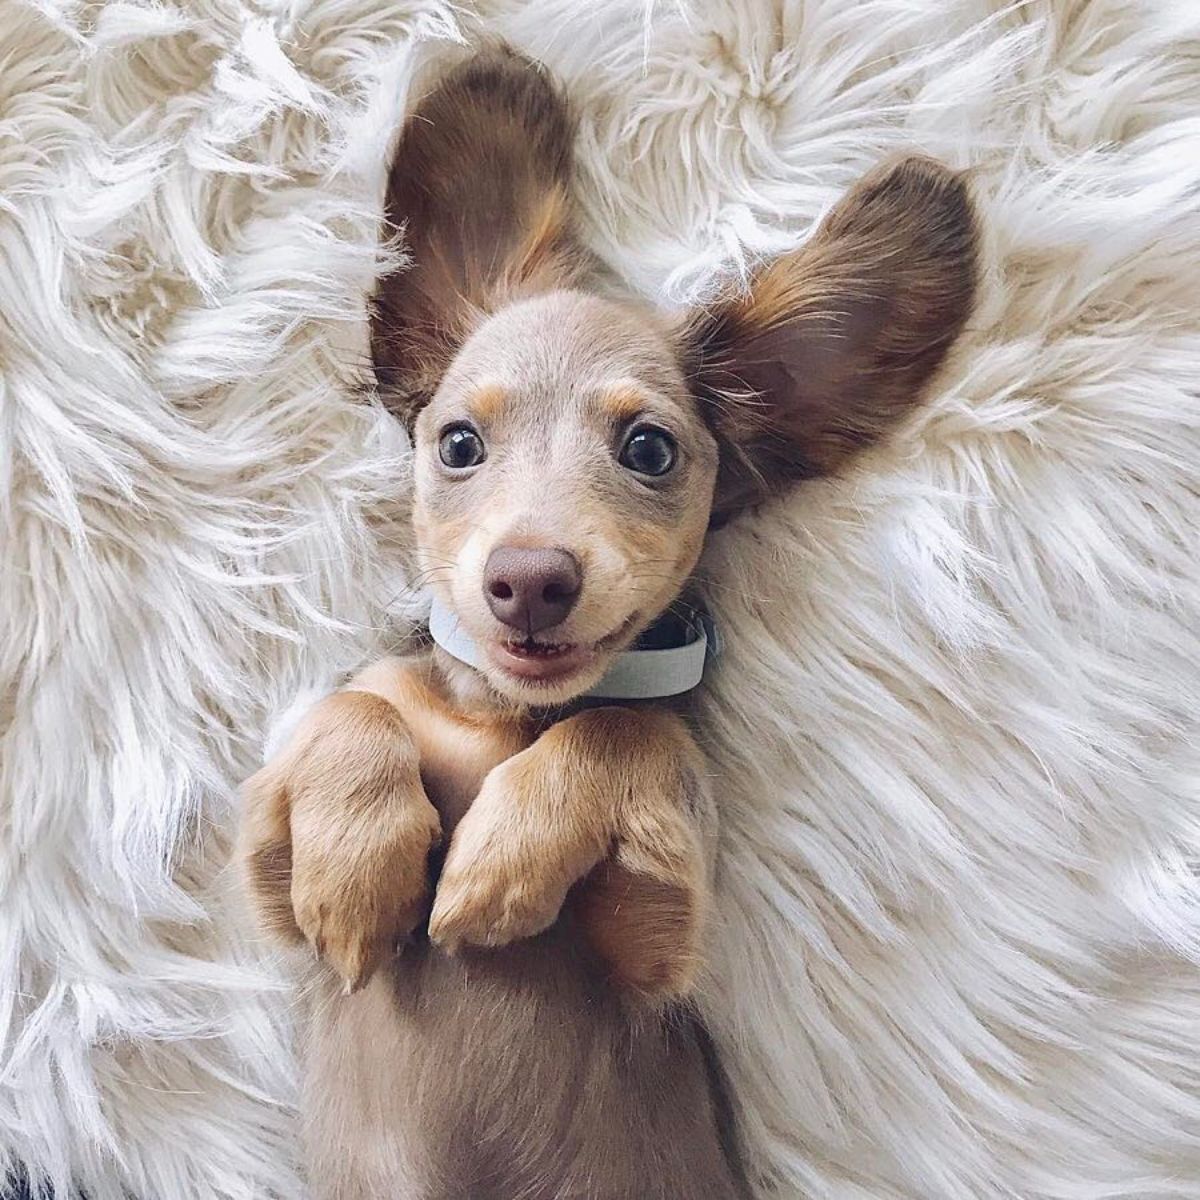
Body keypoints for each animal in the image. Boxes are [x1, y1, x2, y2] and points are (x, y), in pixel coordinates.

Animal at [238, 46, 979, 1200]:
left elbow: (630, 731)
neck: (504, 721)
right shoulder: (274, 890)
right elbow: (353, 710)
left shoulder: (657, 957)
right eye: (457, 444)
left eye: (650, 450)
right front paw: (360, 875)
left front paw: (497, 864)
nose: (529, 581)